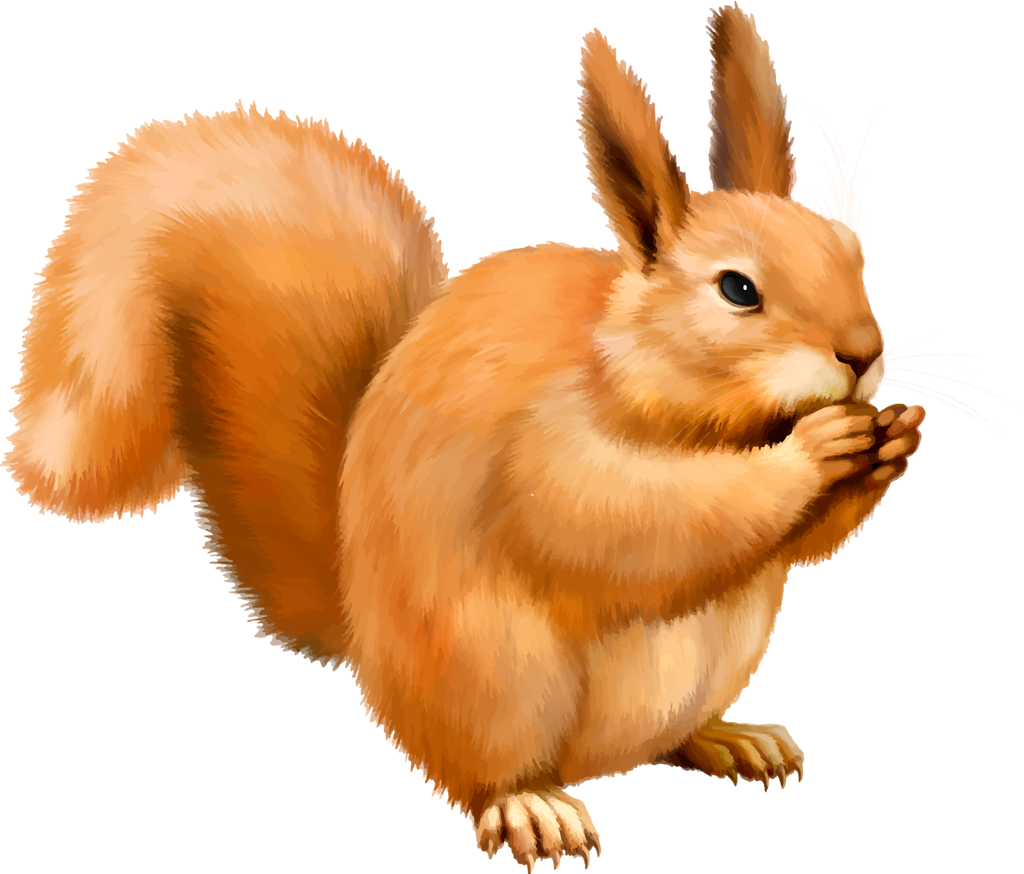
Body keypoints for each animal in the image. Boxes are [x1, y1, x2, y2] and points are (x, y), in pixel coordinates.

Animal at [3, 3, 928, 870]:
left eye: (851, 256)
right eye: (738, 289)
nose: (862, 354)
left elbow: (792, 548)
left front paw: (897, 440)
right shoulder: (546, 449)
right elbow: (633, 518)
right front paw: (817, 452)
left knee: (671, 737)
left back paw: (735, 738)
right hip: (494, 679)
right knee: (482, 773)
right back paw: (534, 808)